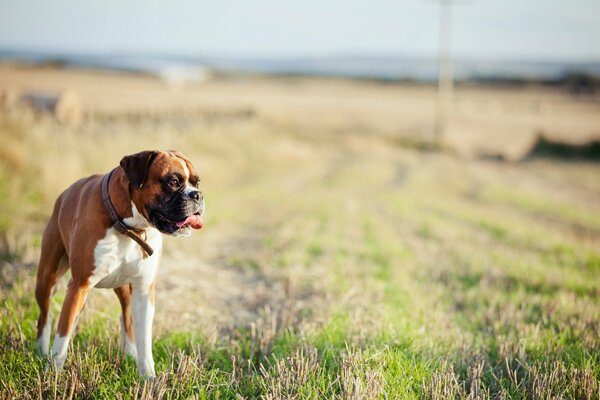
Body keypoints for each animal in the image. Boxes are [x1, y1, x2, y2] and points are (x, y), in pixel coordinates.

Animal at [34, 151, 204, 378]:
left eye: (197, 182)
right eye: (173, 182)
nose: (198, 195)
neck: (129, 228)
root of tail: (64, 194)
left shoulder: (143, 291)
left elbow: (144, 340)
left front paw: (149, 378)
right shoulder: (79, 285)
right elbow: (62, 335)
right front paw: (52, 375)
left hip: (124, 290)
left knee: (127, 319)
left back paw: (129, 353)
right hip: (47, 280)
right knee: (45, 317)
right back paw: (41, 351)